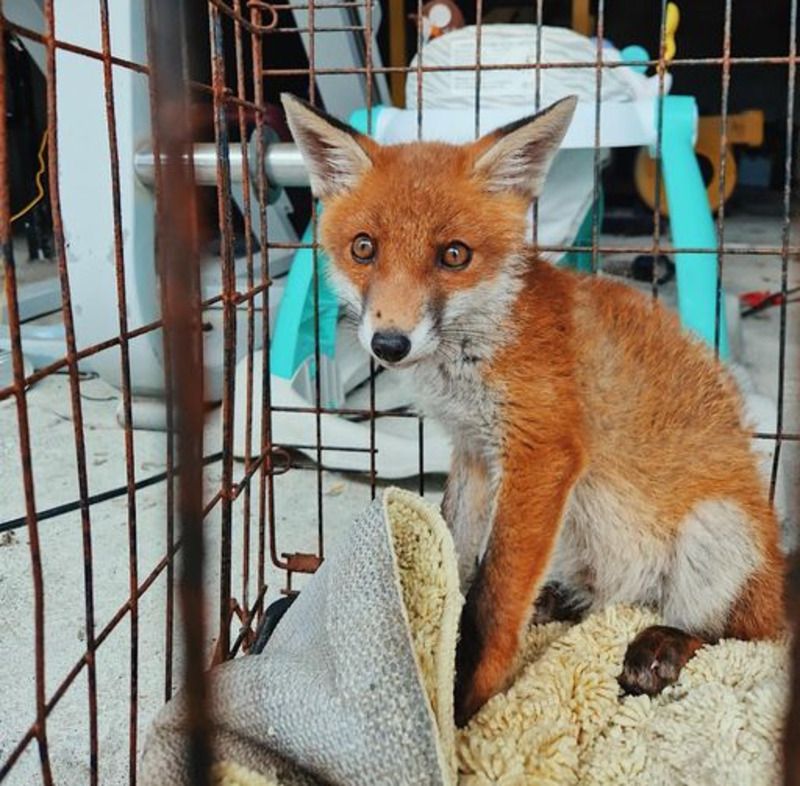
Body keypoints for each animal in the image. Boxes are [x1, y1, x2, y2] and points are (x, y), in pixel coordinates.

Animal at [281, 93, 786, 726]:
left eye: (454, 255)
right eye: (363, 248)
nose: (389, 344)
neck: (477, 349)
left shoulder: (542, 451)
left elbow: (495, 594)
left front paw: (467, 699)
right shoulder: (474, 451)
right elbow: (457, 555)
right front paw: (439, 635)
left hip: (718, 531)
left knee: (742, 636)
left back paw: (665, 645)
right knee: (595, 604)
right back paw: (561, 603)